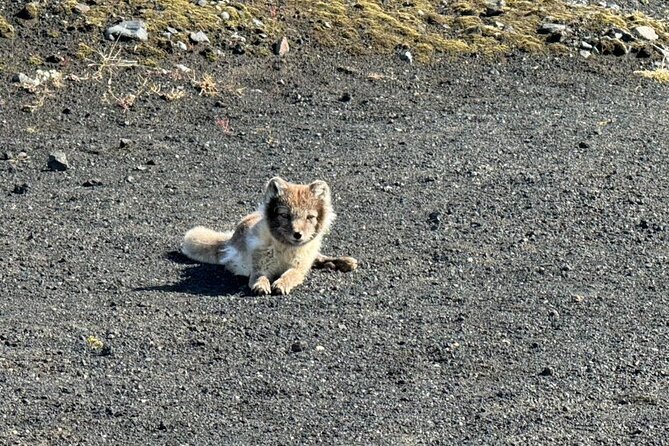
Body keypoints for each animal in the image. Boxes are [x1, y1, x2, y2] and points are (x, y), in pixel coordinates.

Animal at [180, 176, 358, 294]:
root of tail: (231, 238)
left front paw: (281, 284)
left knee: (318, 257)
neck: (285, 251)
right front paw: (261, 285)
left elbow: (291, 275)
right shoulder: (259, 266)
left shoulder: (298, 267)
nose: (297, 234)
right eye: (284, 215)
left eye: (309, 217)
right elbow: (259, 276)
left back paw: (342, 262)